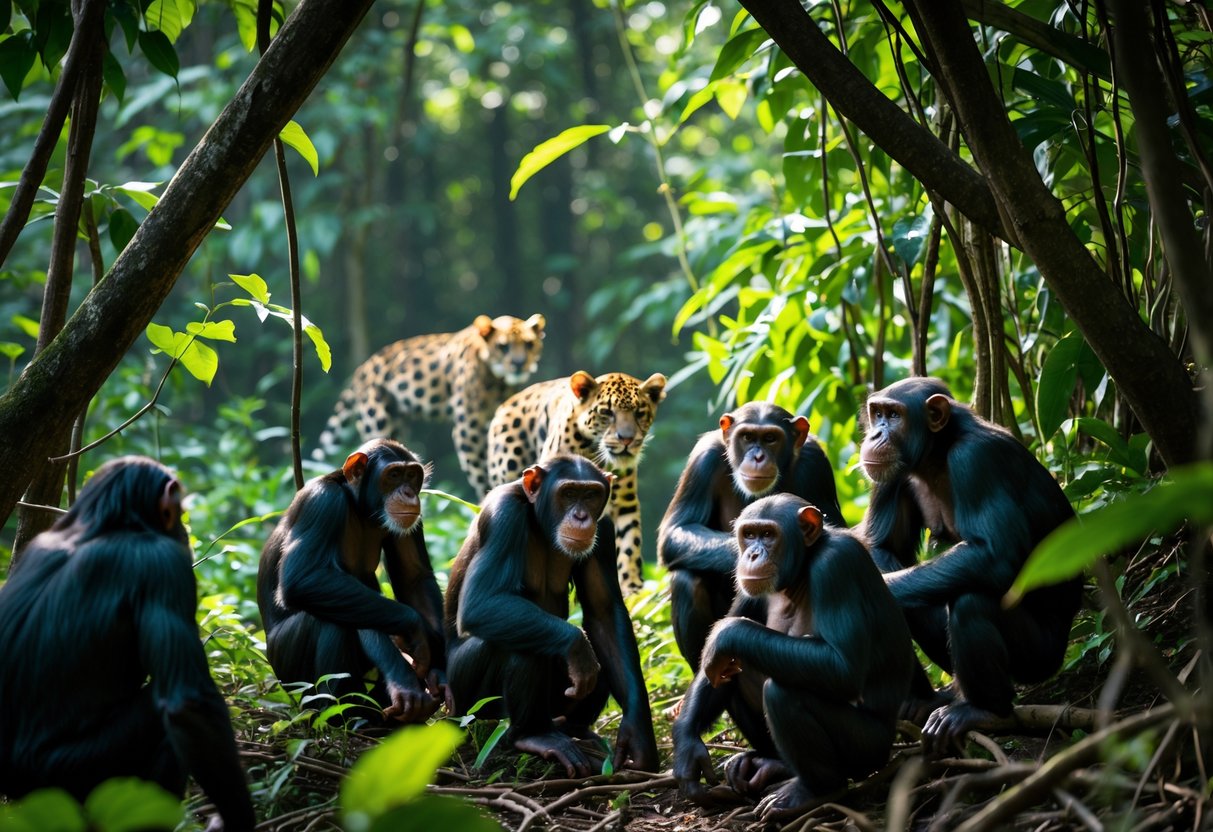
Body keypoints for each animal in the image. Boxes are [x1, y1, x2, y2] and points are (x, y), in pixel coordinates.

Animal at [317, 313, 545, 497]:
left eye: (529, 344)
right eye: (503, 346)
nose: (518, 363)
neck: (497, 380)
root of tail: (361, 370)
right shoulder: (468, 427)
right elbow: (478, 469)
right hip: (378, 420)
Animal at [487, 369, 667, 595]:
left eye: (639, 413)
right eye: (607, 412)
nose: (626, 439)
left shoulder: (625, 503)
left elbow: (629, 543)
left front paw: (632, 588)